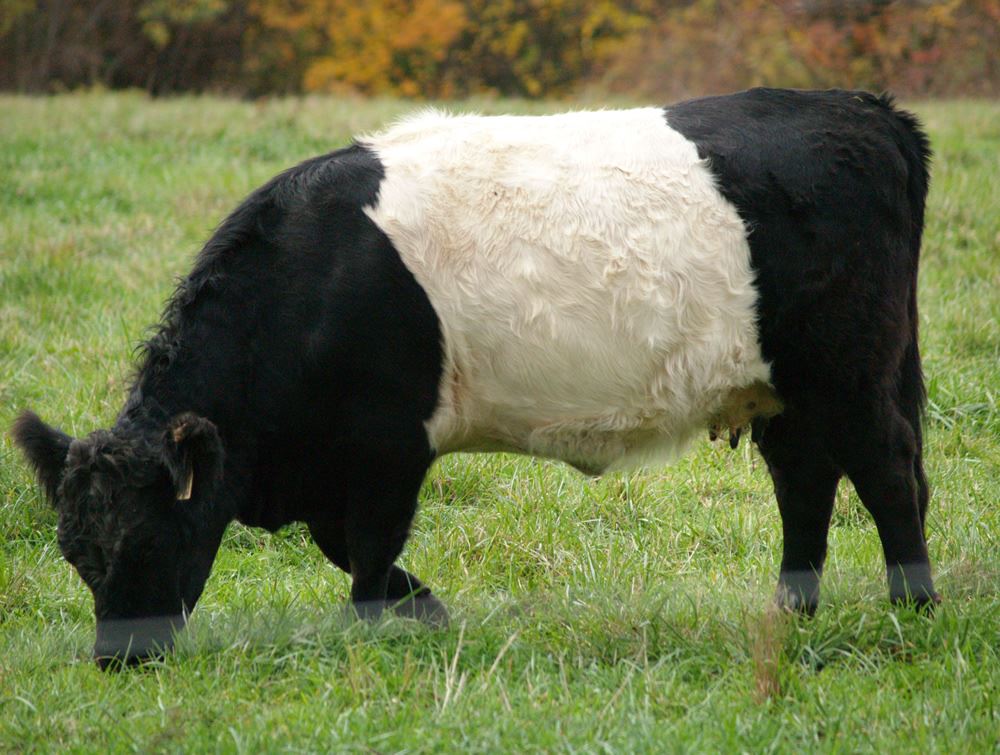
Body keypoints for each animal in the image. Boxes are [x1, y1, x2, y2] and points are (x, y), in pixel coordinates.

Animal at [12, 88, 936, 669]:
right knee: (806, 484)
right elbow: (357, 552)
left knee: (890, 475)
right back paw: (792, 614)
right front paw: (427, 611)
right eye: (75, 552)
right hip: (785, 391)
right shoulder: (333, 470)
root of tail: (865, 110)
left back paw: (914, 610)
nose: (119, 662)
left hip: (848, 372)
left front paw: (372, 634)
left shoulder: (388, 446)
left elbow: (369, 551)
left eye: (149, 539)